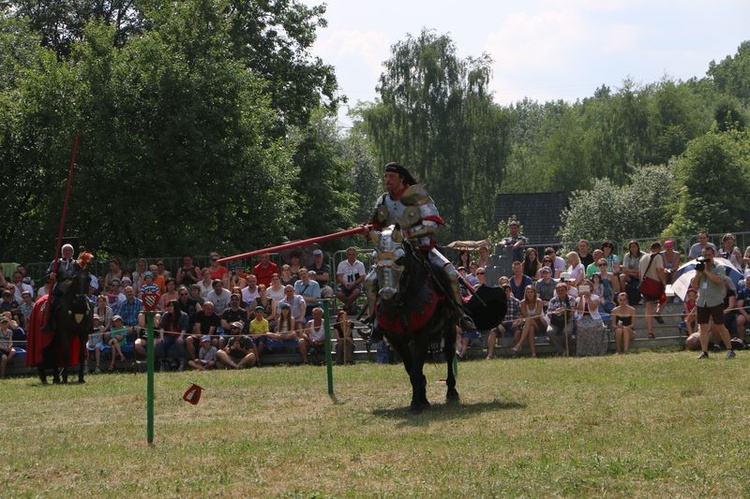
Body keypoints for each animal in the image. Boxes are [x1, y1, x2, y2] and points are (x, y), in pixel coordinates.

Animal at [374, 227, 508, 414]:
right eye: (375, 259)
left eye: (400, 259)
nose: (387, 294)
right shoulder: (395, 338)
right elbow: (411, 368)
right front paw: (421, 397)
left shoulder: (422, 335)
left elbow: (417, 368)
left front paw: (417, 403)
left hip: (450, 326)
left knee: (450, 353)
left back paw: (452, 391)